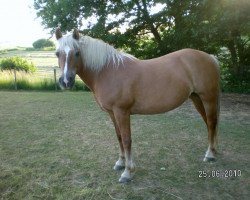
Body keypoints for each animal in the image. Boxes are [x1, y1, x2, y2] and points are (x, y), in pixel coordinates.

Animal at [55, 28, 220, 184]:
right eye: (57, 53)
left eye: (77, 53)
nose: (66, 81)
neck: (107, 71)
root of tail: (210, 57)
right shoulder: (112, 113)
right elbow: (119, 137)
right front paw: (120, 163)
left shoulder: (122, 112)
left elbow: (127, 139)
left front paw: (127, 172)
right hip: (196, 98)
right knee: (208, 123)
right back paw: (212, 151)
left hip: (208, 98)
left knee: (211, 123)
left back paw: (210, 155)